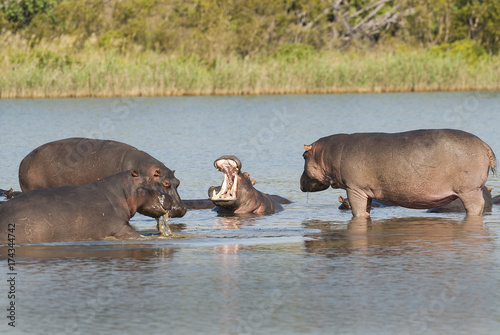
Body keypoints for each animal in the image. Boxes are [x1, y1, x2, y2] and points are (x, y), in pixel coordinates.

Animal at [300, 129, 496, 218]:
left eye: (303, 155)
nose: (300, 182)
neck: (326, 153)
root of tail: (484, 144)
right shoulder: (366, 192)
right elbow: (365, 210)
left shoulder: (354, 188)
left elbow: (357, 212)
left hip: (469, 190)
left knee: (475, 208)